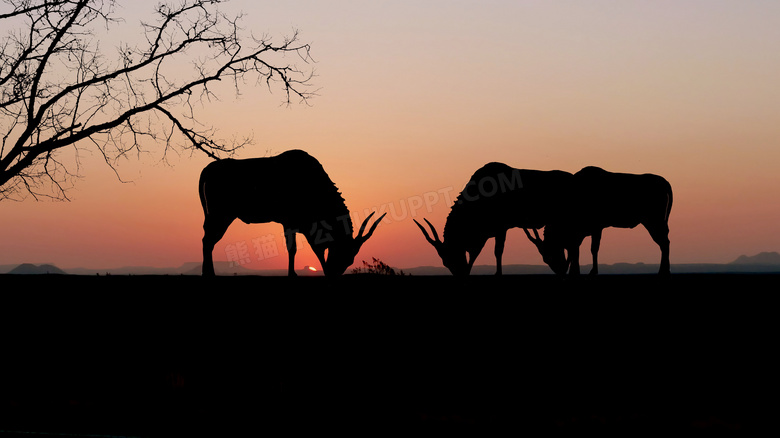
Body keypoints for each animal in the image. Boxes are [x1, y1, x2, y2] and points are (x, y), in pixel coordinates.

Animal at [198, 149, 386, 276]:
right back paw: (209, 274)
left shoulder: (300, 225)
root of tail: (207, 170)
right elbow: (295, 248)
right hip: (221, 215)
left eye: (350, 259)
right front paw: (292, 274)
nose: (333, 273)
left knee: (208, 239)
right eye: (343, 253)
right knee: (208, 240)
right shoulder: (289, 223)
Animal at [414, 163, 572, 276]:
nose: (460, 274)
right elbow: (475, 253)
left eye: (452, 256)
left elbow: (497, 251)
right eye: (445, 263)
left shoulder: (501, 229)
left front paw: (498, 273)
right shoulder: (484, 235)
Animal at [528, 166, 672, 276]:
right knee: (664, 242)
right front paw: (575, 271)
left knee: (664, 242)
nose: (560, 271)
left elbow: (593, 248)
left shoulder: (596, 228)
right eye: (545, 259)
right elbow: (575, 250)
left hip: (653, 221)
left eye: (550, 254)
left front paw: (592, 271)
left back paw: (663, 271)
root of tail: (665, 182)